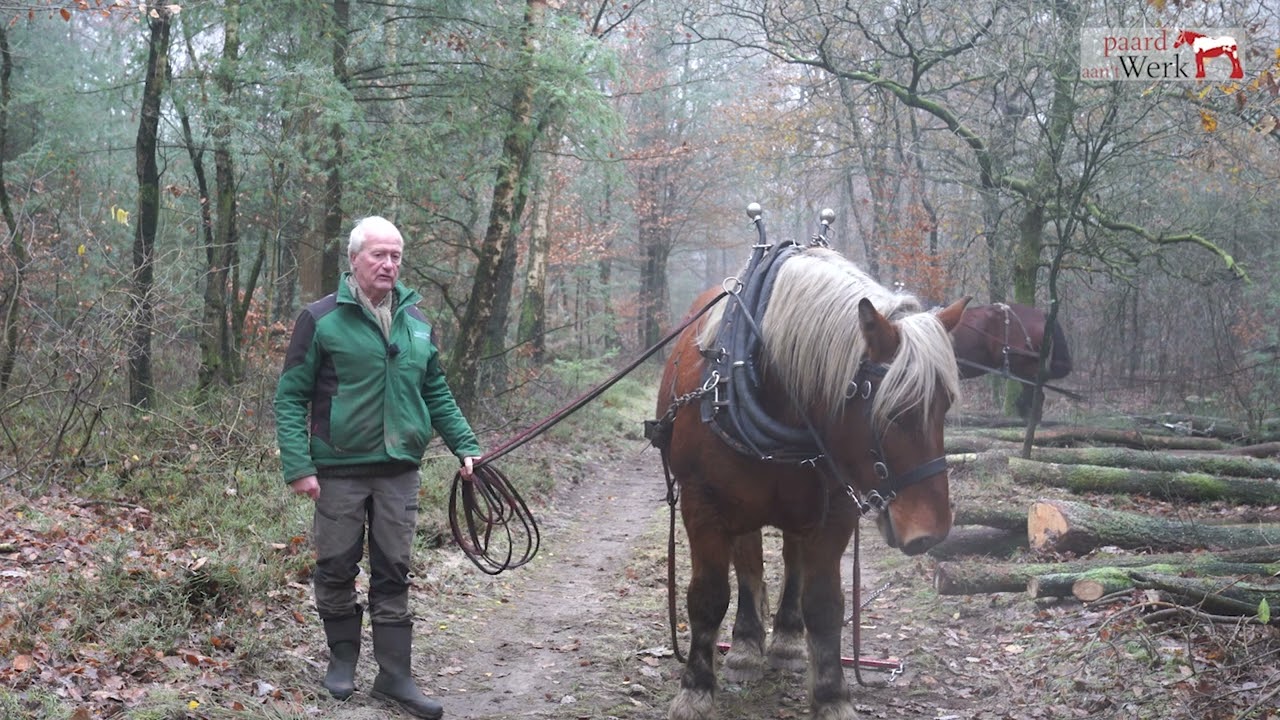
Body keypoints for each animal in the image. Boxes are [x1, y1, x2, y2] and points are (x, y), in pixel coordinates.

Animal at [654, 243, 967, 720]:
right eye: (894, 410)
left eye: (945, 403)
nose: (930, 533)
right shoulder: (701, 504)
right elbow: (708, 597)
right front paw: (695, 689)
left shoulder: (834, 510)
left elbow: (823, 603)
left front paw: (832, 695)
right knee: (749, 561)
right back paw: (746, 645)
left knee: (790, 561)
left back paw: (784, 639)